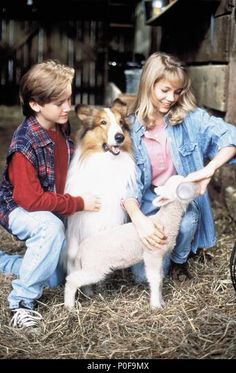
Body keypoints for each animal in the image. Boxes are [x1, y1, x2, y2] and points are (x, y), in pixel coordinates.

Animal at [64, 100, 136, 272]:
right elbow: (73, 259)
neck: (106, 164)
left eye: (121, 122)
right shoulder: (77, 227)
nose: (120, 137)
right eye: (103, 122)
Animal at [64, 174, 197, 308]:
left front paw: (161, 301)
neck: (164, 221)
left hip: (89, 266)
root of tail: (81, 249)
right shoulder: (152, 255)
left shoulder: (159, 256)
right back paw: (69, 306)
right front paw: (156, 305)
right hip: (94, 267)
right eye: (181, 187)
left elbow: (160, 278)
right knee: (72, 280)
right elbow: (155, 279)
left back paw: (88, 294)